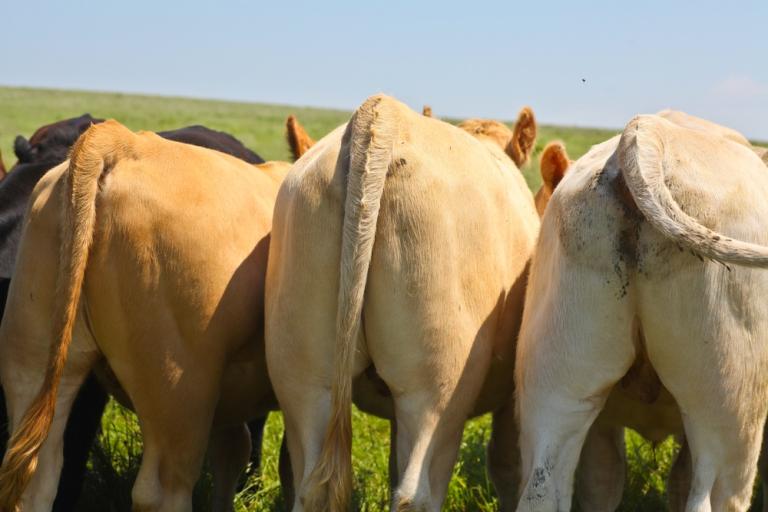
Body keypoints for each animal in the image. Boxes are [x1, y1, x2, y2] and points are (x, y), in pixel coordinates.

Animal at [265, 94, 539, 511]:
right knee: (416, 493)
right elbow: (509, 466)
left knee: (309, 485)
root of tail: (385, 114)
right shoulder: (512, 395)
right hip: (436, 389)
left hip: (302, 375)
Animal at [514, 111, 768, 512]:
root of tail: (650, 129)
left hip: (557, 384)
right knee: (710, 496)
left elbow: (603, 481)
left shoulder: (601, 425)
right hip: (731, 409)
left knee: (543, 489)